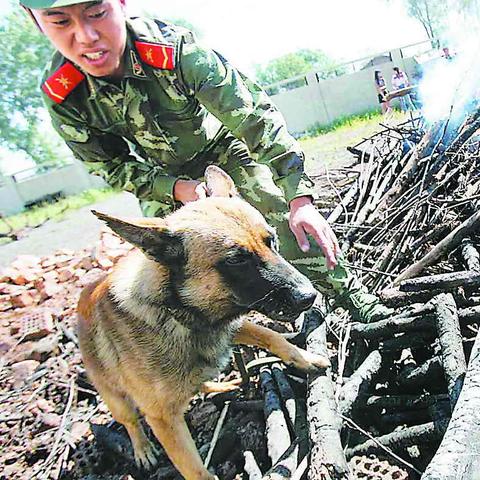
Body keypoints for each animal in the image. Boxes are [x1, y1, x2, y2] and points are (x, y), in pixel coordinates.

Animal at [78, 166, 330, 480]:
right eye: (236, 261)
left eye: (271, 240)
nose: (310, 296)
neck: (176, 310)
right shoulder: (163, 420)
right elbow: (195, 469)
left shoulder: (234, 325)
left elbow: (272, 336)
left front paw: (306, 358)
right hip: (116, 400)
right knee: (130, 421)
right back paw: (141, 447)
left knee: (198, 385)